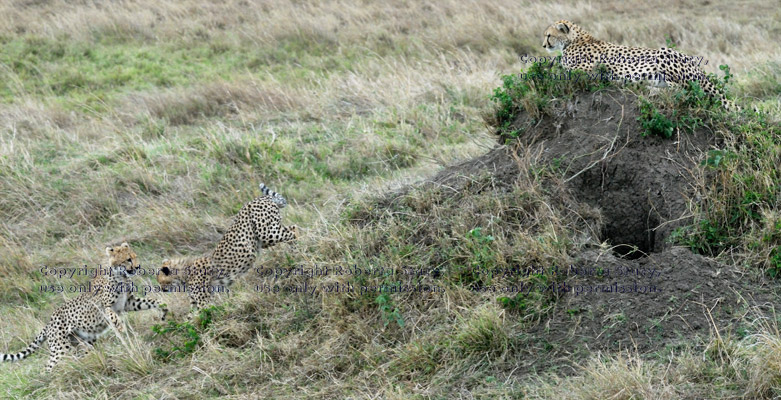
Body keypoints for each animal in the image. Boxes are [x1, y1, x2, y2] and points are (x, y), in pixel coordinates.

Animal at [0, 244, 166, 372]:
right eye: (128, 259)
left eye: (135, 256)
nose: (138, 266)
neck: (121, 276)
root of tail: (49, 322)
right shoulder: (105, 307)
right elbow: (113, 316)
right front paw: (120, 328)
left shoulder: (129, 302)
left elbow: (152, 301)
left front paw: (165, 310)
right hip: (61, 348)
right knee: (48, 367)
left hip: (83, 343)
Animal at [157, 184, 298, 310]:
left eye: (161, 281)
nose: (162, 290)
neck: (183, 272)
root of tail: (260, 198)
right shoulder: (196, 303)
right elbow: (192, 318)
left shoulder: (204, 301)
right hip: (263, 240)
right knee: (292, 228)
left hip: (267, 233)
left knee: (293, 231)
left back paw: (296, 253)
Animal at [544, 19, 736, 110]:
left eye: (548, 35)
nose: (544, 45)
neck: (574, 40)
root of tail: (696, 65)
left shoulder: (585, 71)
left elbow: (557, 73)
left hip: (664, 53)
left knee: (685, 91)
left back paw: (650, 89)